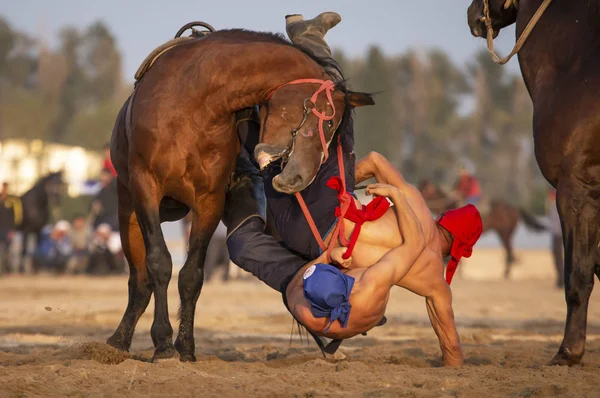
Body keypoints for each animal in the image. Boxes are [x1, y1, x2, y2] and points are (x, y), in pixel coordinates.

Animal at [105, 28, 372, 364]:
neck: (192, 104)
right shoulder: (146, 187)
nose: (301, 178)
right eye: (330, 121)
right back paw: (117, 341)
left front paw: (186, 348)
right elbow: (159, 264)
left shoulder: (209, 200)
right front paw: (163, 344)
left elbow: (192, 275)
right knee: (139, 278)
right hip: (128, 211)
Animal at [420, 180, 548, 276]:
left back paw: (506, 273)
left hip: (505, 232)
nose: (419, 194)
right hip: (503, 233)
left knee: (509, 251)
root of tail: (515, 208)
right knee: (509, 251)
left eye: (426, 189)